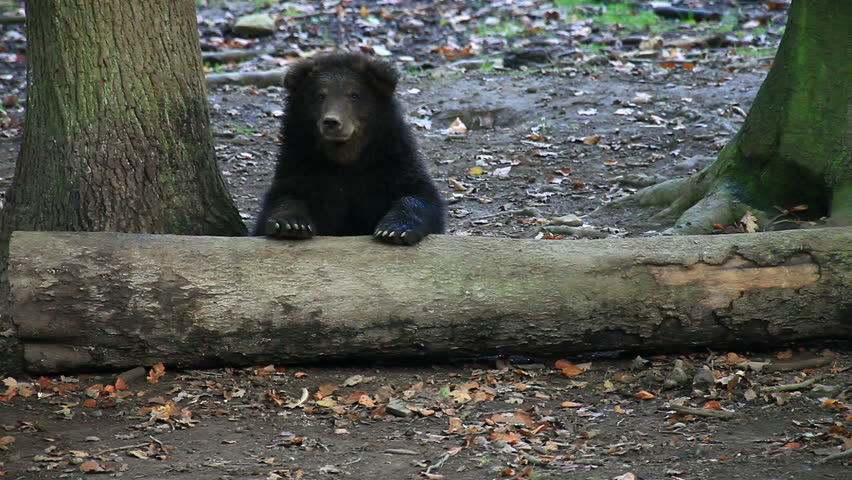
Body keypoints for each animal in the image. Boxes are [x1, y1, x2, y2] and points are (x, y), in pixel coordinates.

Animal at [253, 52, 446, 246]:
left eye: (354, 94)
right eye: (320, 95)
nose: (332, 122)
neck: (346, 157)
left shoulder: (391, 159)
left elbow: (419, 194)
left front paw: (395, 230)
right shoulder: (301, 159)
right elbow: (284, 195)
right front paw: (290, 225)